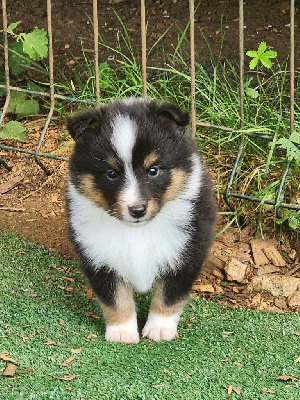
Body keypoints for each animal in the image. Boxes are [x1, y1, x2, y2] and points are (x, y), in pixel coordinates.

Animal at [65, 97, 216, 344]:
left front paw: (159, 329)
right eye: (111, 173)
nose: (137, 210)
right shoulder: (98, 256)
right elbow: (115, 298)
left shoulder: (187, 250)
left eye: (153, 170)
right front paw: (122, 332)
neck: (137, 231)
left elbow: (169, 294)